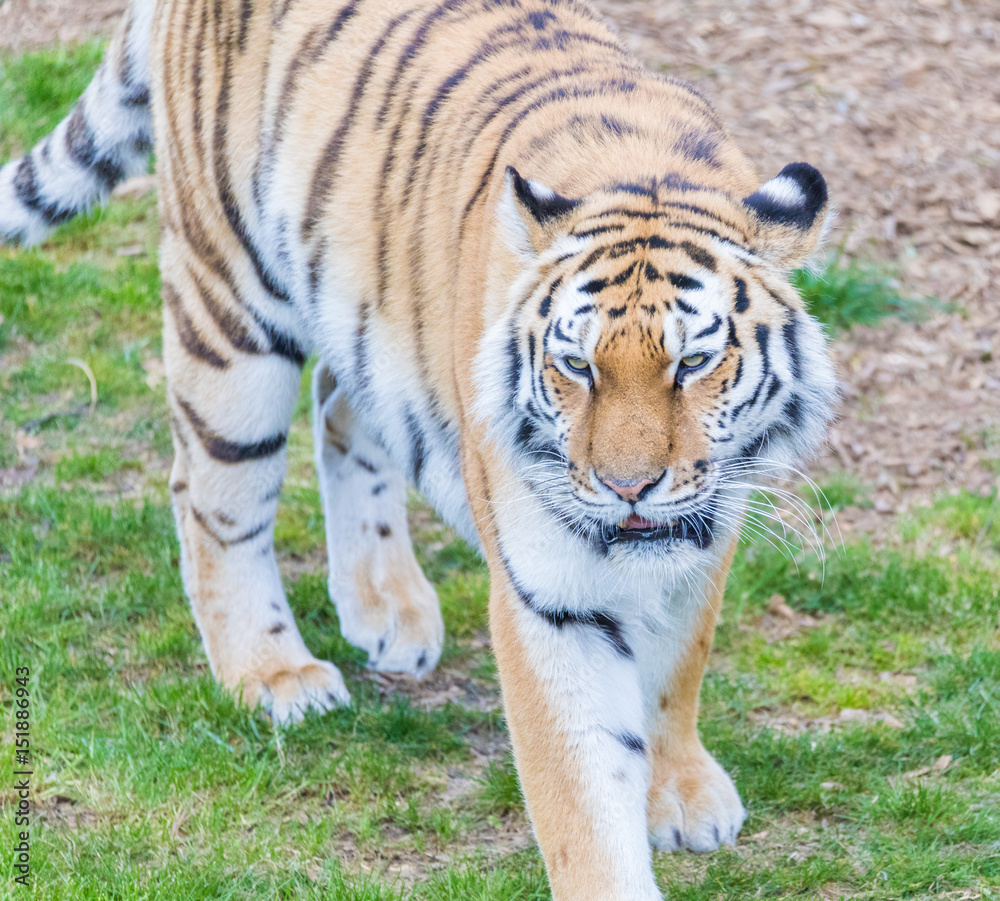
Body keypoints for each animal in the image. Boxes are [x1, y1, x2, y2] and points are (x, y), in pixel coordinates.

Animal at [0, 0, 838, 896]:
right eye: (577, 366)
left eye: (692, 363)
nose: (627, 487)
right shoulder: (549, 595)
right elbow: (581, 795)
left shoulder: (708, 532)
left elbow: (679, 666)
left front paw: (678, 789)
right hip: (228, 307)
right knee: (211, 494)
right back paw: (273, 674)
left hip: (367, 310)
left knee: (341, 409)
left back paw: (384, 607)